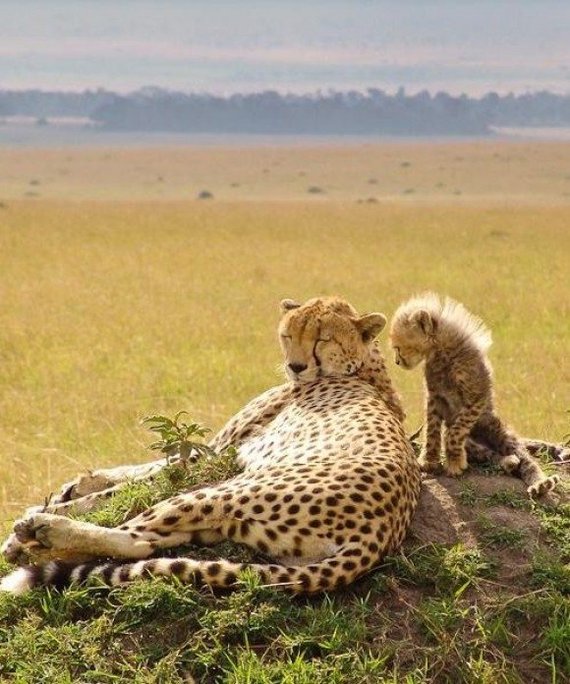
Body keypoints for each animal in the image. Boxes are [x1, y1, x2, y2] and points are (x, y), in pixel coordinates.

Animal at [1, 296, 421, 595]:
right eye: (288, 335)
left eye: (322, 338)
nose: (296, 366)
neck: (364, 368)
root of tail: (381, 533)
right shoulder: (217, 453)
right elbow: (140, 470)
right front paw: (77, 484)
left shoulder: (220, 456)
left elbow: (142, 478)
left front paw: (54, 505)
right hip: (234, 528)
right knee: (151, 544)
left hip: (225, 491)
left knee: (136, 537)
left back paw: (35, 535)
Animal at [389, 291, 560, 497]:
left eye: (398, 347)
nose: (397, 362)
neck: (441, 352)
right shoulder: (435, 397)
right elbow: (432, 430)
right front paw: (429, 460)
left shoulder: (477, 397)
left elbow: (455, 432)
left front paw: (454, 463)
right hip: (473, 444)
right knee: (489, 455)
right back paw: (507, 462)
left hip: (497, 431)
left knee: (525, 459)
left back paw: (540, 483)